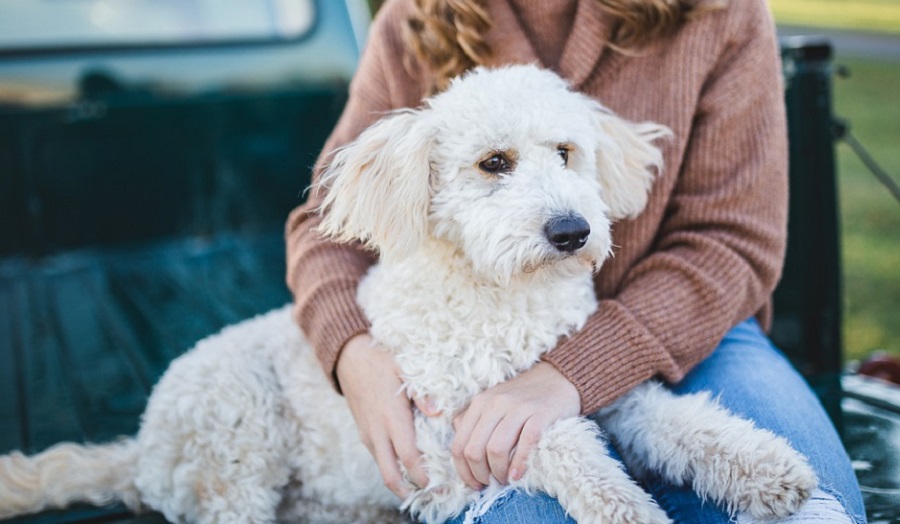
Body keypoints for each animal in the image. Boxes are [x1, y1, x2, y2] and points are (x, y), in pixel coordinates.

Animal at [0, 66, 816, 524]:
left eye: (567, 153)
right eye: (494, 163)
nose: (572, 229)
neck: (500, 295)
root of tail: (139, 450)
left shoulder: (599, 387)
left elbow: (687, 424)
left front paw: (767, 469)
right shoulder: (451, 451)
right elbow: (562, 446)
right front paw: (627, 510)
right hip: (236, 433)